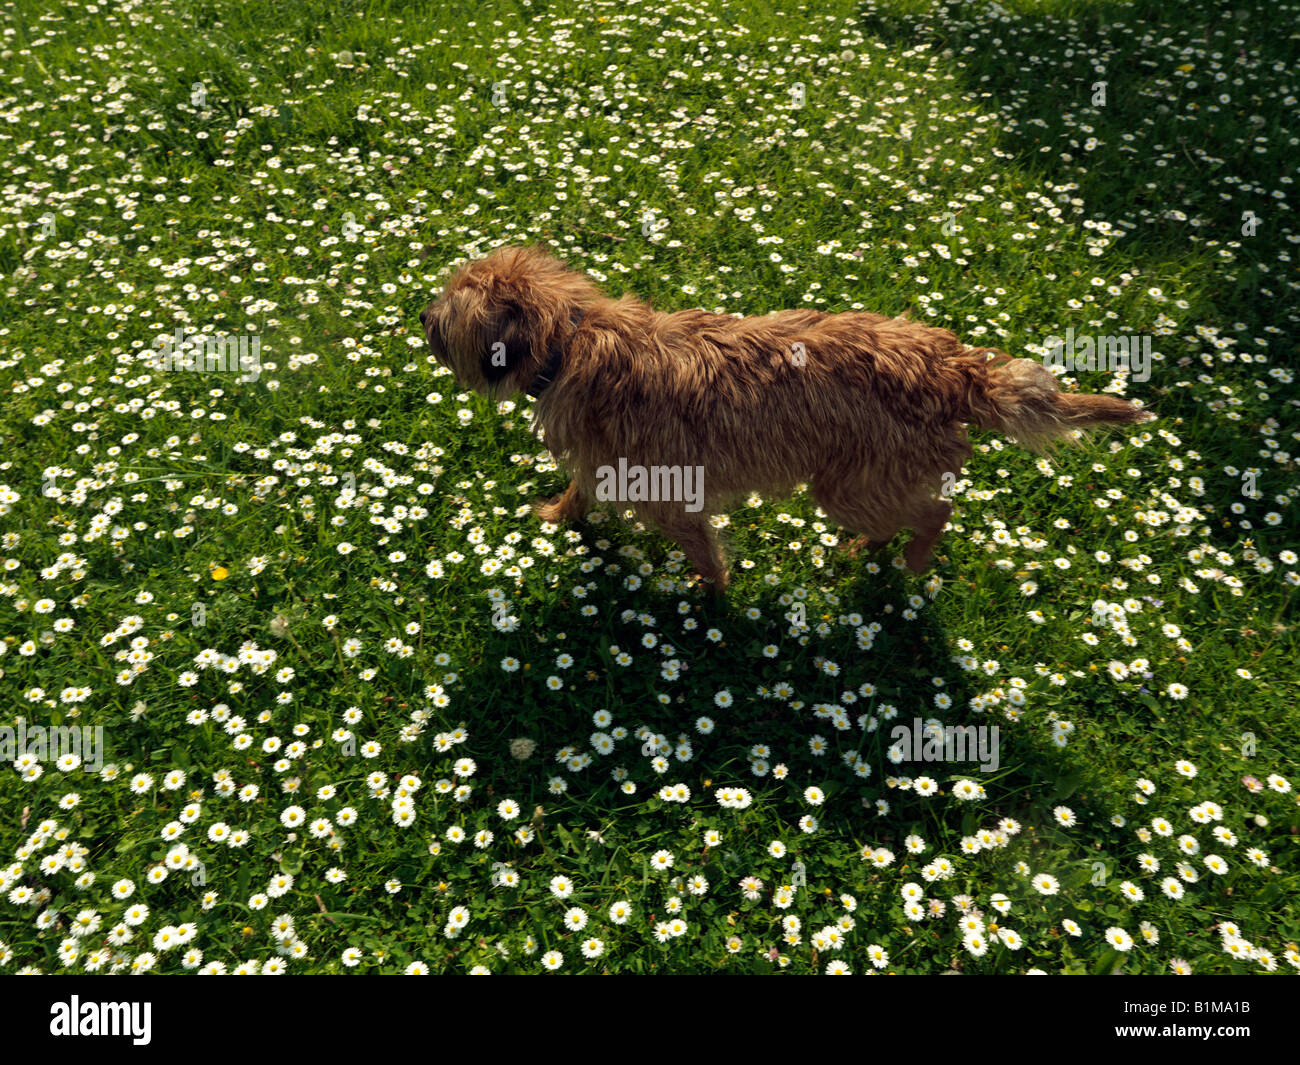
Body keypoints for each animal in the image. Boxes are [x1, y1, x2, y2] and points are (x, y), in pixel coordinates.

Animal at [421, 243, 1154, 590]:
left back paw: (906, 558)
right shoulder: (607, 465)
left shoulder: (670, 495)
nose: (421, 315)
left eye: (453, 306)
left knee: (933, 512)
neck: (569, 340)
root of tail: (953, 369)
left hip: (848, 484)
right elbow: (579, 491)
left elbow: (704, 555)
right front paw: (555, 515)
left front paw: (709, 600)